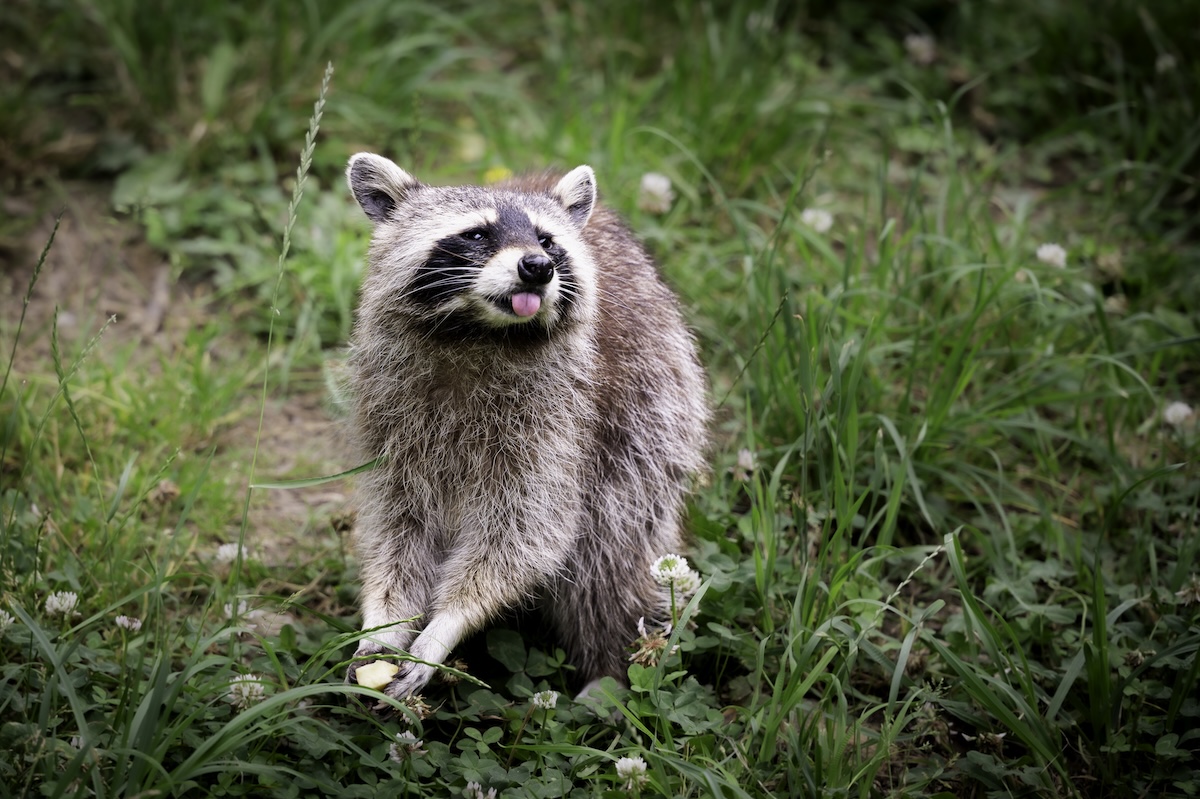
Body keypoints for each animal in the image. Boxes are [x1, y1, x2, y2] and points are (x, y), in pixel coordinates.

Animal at [343, 153, 708, 700]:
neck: (479, 335)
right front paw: (384, 619)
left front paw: (445, 626)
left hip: (651, 414)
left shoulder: (558, 423)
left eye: (547, 240)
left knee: (610, 551)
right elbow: (398, 525)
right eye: (476, 234)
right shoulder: (393, 417)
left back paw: (607, 666)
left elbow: (525, 536)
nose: (537, 266)